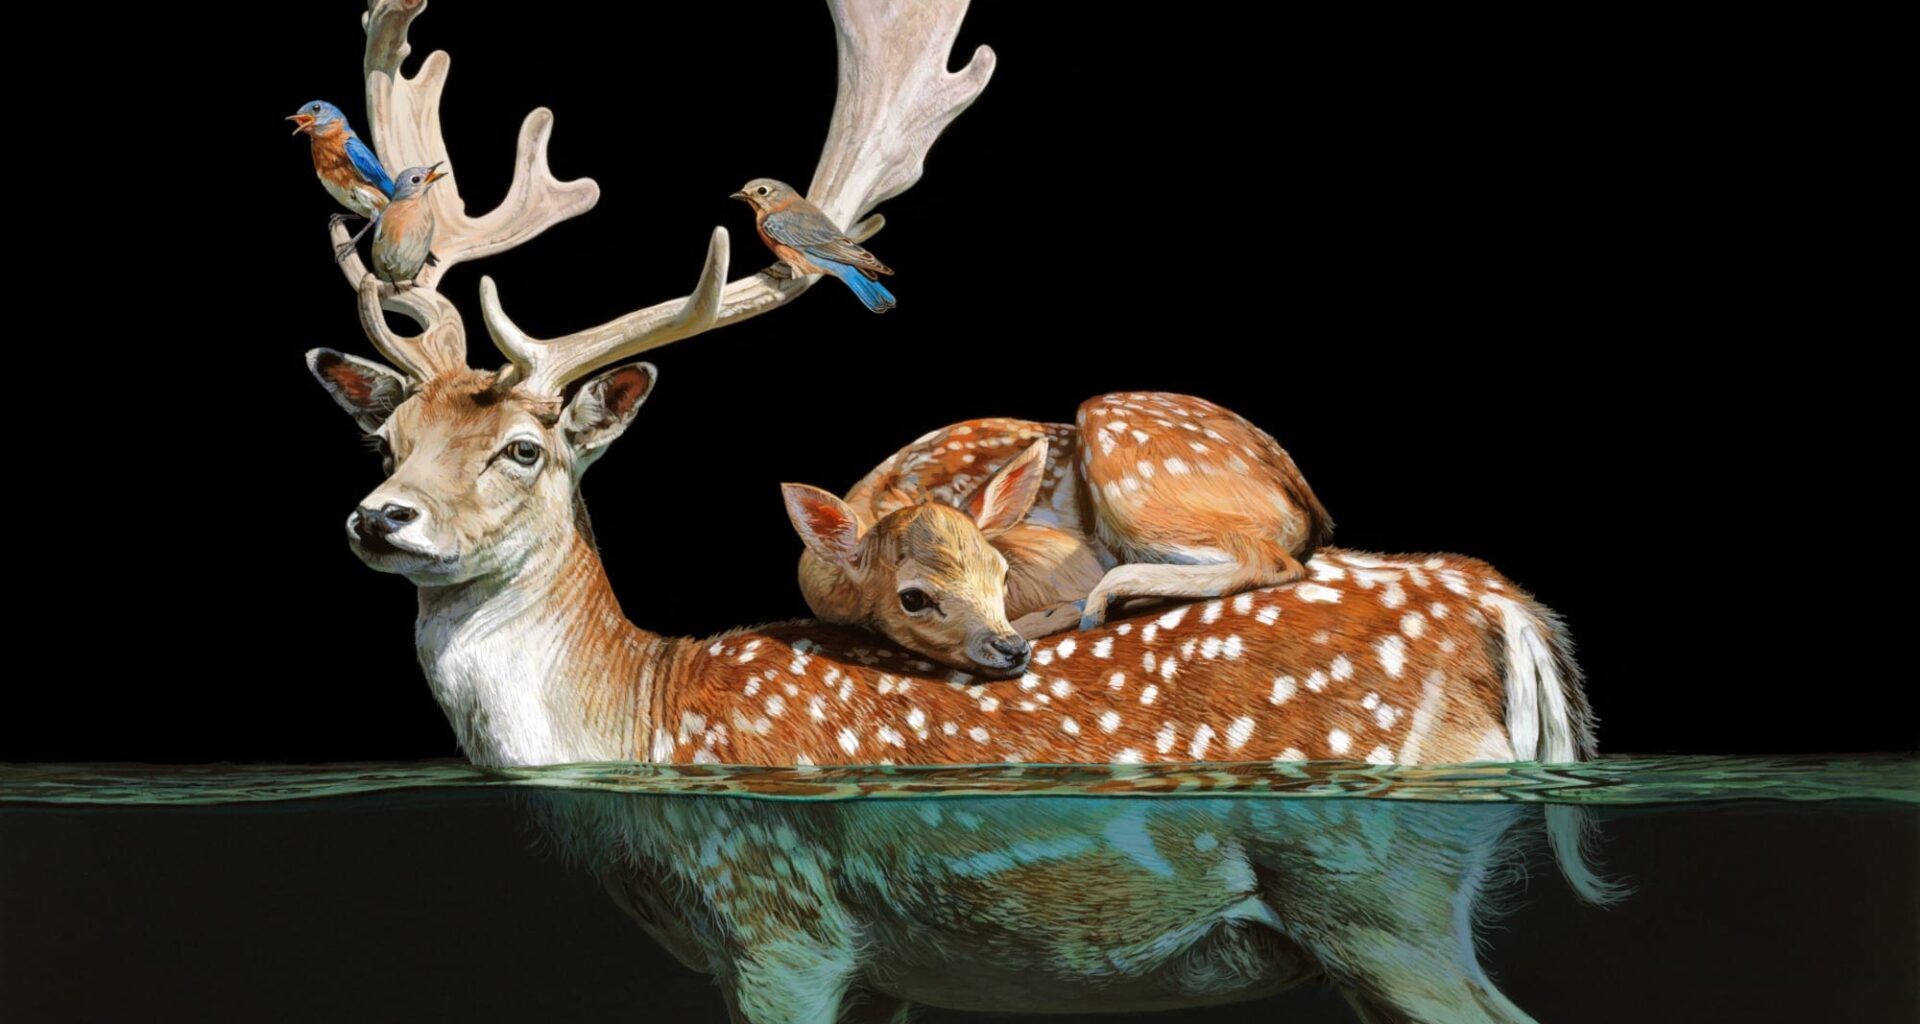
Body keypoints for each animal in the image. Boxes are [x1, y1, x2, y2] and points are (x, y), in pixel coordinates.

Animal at [780, 391, 1334, 678]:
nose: (1010, 649)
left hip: (1131, 475)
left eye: (1002, 575)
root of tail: (1302, 495)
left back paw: (1098, 603)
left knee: (1271, 560)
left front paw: (1062, 611)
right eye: (912, 597)